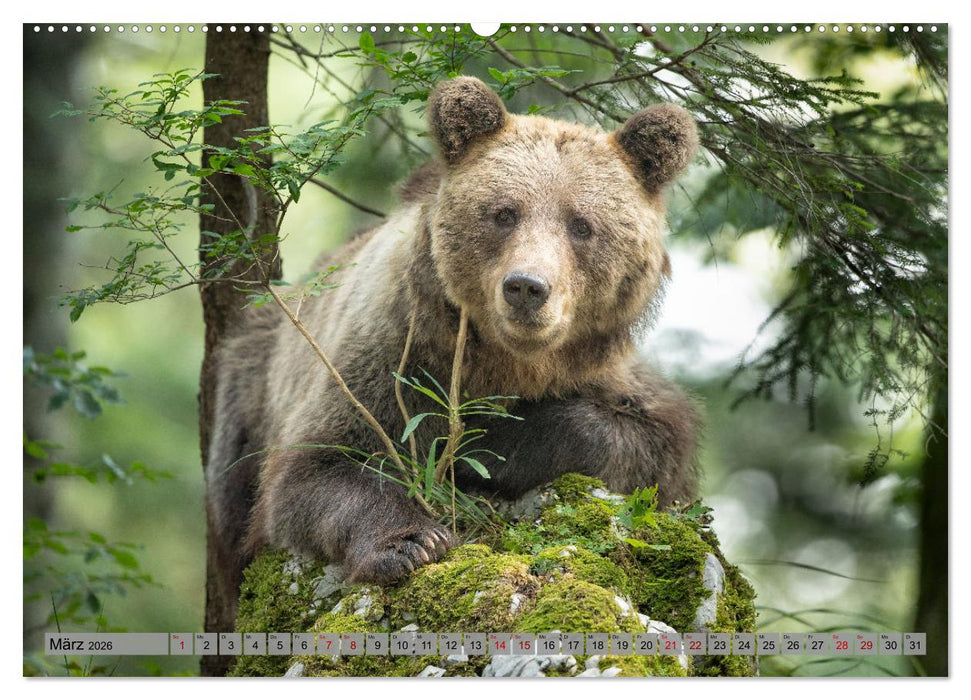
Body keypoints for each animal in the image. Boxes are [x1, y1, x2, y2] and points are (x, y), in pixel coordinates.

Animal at [206, 76, 700, 621]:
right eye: (505, 213)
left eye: (582, 224)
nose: (526, 287)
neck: (506, 360)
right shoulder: (392, 352)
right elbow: (316, 467)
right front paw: (410, 540)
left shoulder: (602, 372)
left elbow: (648, 442)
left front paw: (482, 443)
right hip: (251, 384)